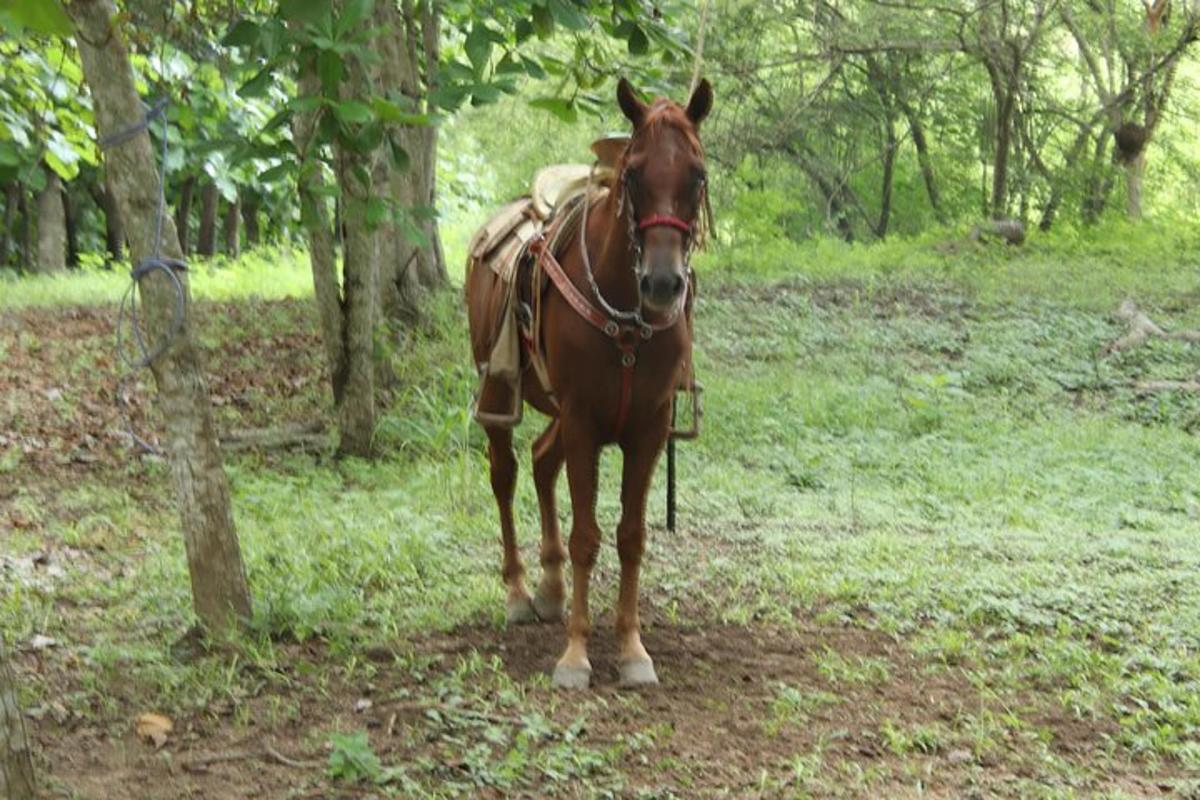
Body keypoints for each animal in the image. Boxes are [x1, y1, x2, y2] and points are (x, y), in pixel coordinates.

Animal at [463, 77, 710, 690]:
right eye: (633, 174)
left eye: (697, 174)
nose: (663, 283)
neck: (628, 318)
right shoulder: (582, 421)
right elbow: (585, 537)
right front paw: (575, 655)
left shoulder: (647, 429)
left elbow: (630, 537)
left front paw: (632, 648)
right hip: (503, 390)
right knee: (506, 474)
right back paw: (519, 591)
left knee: (541, 459)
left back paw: (550, 589)